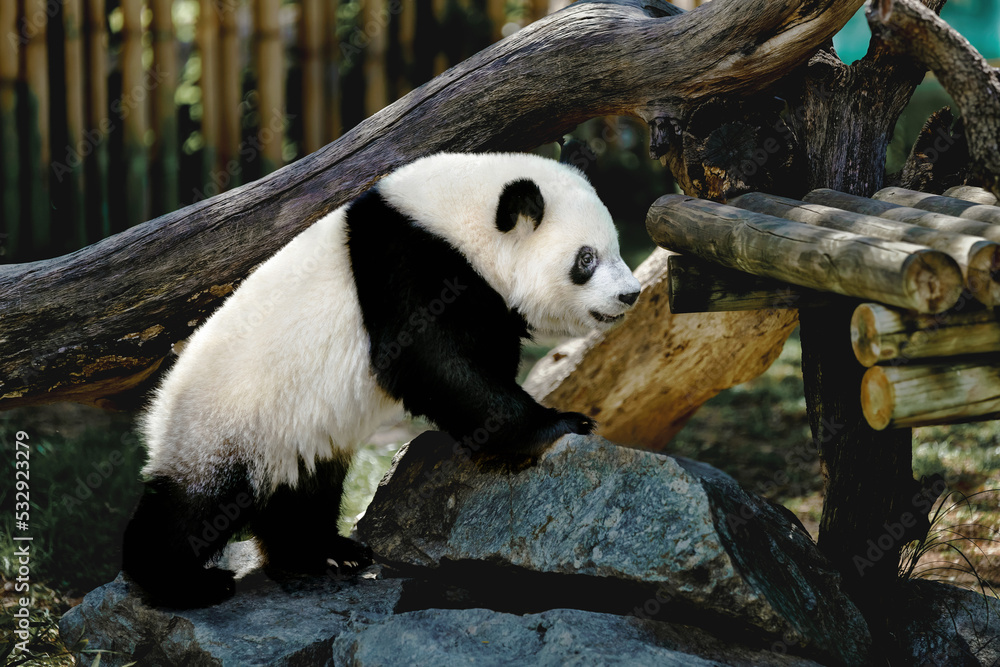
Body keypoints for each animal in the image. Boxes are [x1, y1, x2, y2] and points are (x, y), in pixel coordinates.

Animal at [122, 151, 641, 608]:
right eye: (586, 259)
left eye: (615, 248)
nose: (630, 294)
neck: (460, 222)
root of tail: (159, 409)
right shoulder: (408, 267)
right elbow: (428, 360)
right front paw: (559, 423)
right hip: (228, 418)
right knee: (197, 506)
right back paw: (182, 583)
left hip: (292, 431)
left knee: (303, 488)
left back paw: (325, 553)